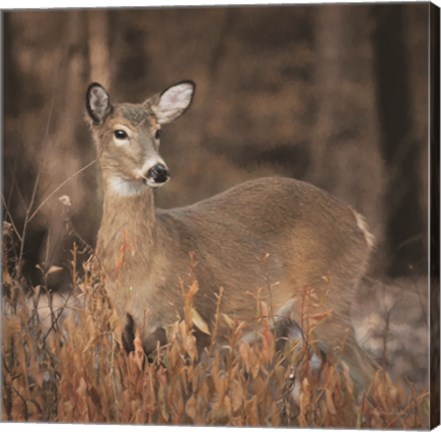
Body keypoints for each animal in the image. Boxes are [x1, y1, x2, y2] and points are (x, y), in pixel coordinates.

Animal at [87, 79, 376, 390]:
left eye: (158, 131)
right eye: (120, 132)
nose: (158, 170)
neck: (140, 269)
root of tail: (358, 222)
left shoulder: (190, 325)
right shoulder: (125, 334)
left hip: (327, 300)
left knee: (376, 374)